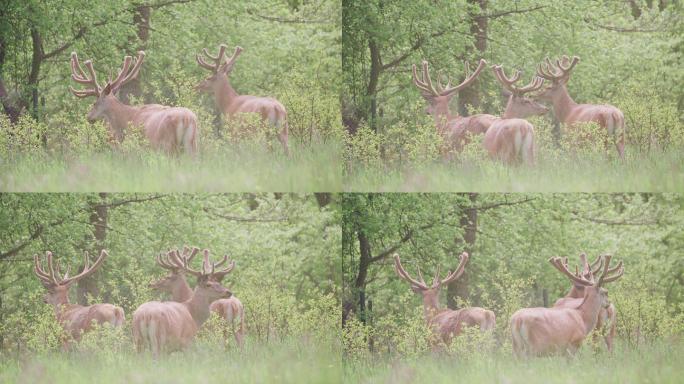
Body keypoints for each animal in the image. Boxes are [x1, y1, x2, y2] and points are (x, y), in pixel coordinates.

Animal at [69, 50, 198, 155]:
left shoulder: (136, 146)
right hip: (192, 145)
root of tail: (186, 119)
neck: (125, 121)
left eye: (94, 103)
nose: (88, 117)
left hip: (168, 145)